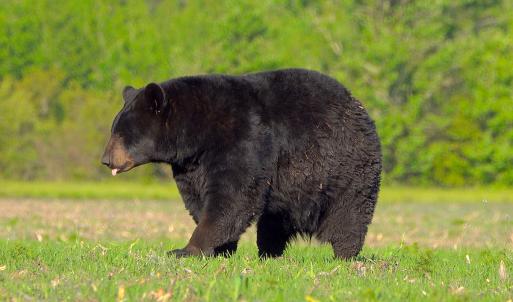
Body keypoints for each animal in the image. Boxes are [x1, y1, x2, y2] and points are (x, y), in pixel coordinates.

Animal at [101, 68, 380, 260]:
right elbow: (199, 200)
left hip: (346, 168)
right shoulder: (191, 167)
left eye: (122, 134)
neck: (198, 135)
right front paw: (221, 249)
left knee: (349, 213)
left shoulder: (243, 140)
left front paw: (186, 249)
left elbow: (233, 197)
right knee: (273, 223)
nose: (105, 159)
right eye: (114, 129)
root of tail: (360, 107)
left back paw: (345, 254)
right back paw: (269, 253)